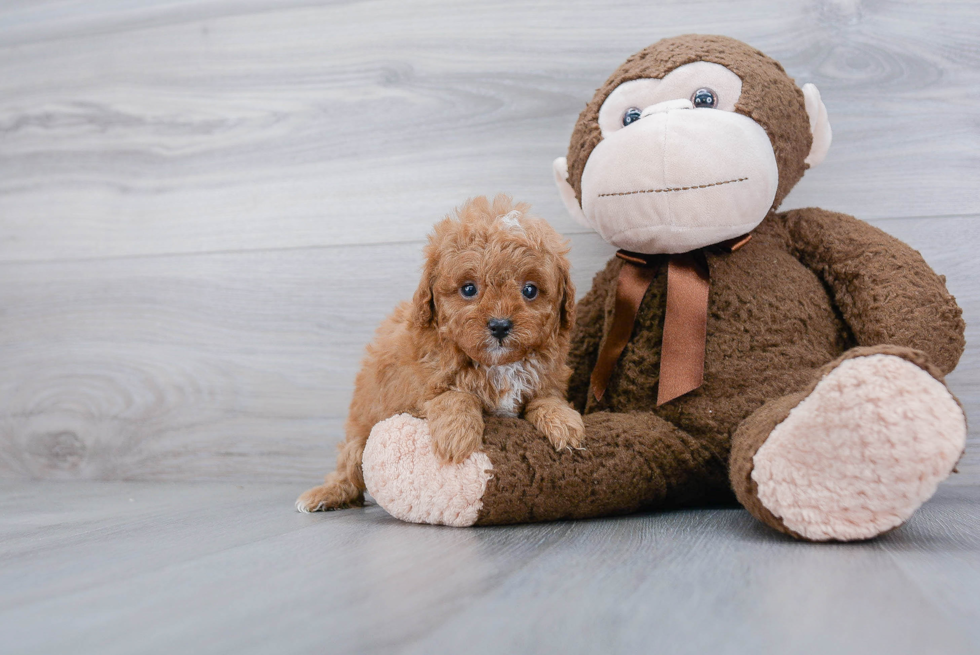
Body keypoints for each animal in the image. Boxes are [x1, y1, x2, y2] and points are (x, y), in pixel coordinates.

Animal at [296, 195, 580, 512]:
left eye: (530, 290)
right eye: (469, 289)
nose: (500, 325)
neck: (498, 365)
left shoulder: (545, 379)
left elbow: (547, 398)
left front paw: (565, 423)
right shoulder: (417, 390)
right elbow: (453, 395)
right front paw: (457, 437)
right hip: (359, 437)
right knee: (348, 469)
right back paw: (327, 493)